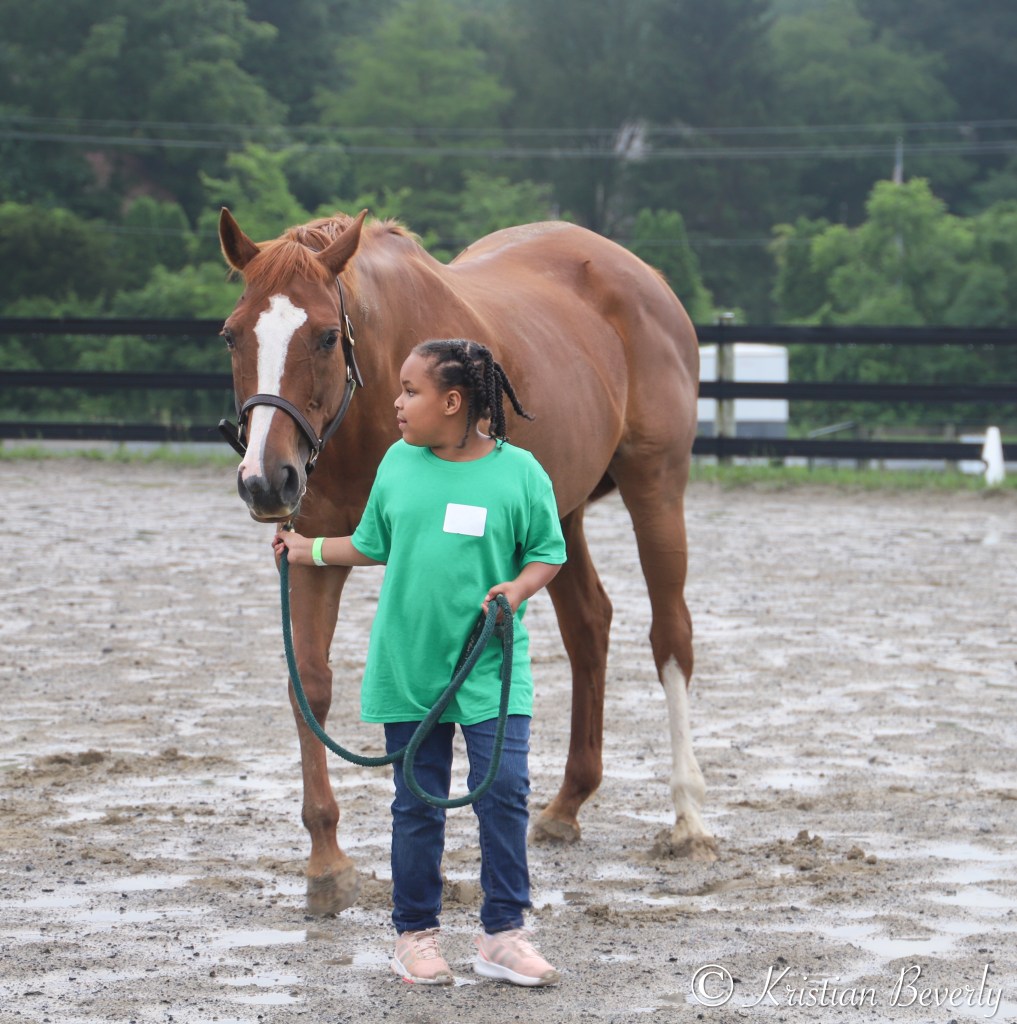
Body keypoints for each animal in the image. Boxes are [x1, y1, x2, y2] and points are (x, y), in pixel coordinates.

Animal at [217, 208, 718, 915]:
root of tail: (642, 275)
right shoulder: (315, 555)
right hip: (559, 513)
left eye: (324, 337)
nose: (266, 481)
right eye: (232, 335)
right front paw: (327, 863)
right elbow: (309, 685)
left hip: (656, 485)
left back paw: (688, 819)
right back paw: (567, 803)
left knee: (670, 635)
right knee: (589, 626)